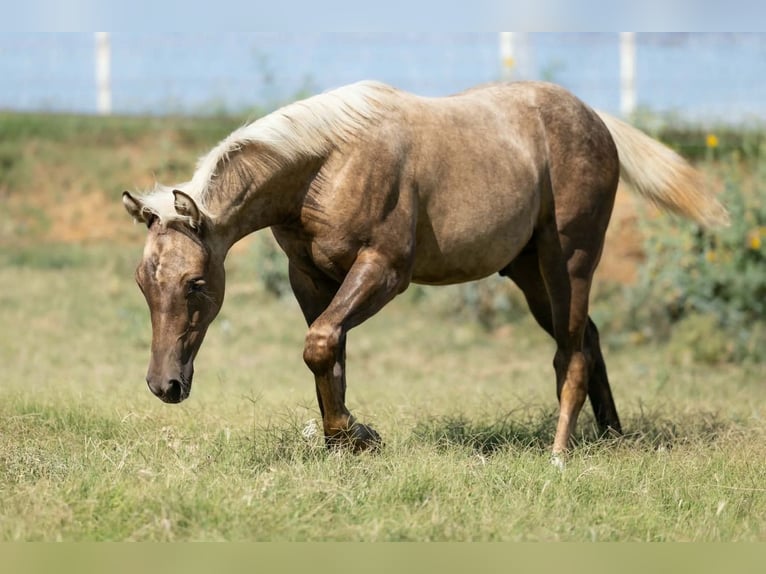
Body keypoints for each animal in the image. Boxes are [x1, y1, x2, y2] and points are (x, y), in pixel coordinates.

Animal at [122, 80, 728, 461]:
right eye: (143, 283)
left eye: (197, 283)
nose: (164, 385)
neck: (328, 163)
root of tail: (596, 120)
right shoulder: (311, 280)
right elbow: (330, 355)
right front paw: (347, 443)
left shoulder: (384, 271)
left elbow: (319, 345)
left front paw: (357, 436)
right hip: (529, 273)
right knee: (586, 339)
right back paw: (610, 437)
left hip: (570, 261)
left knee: (572, 352)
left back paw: (560, 454)